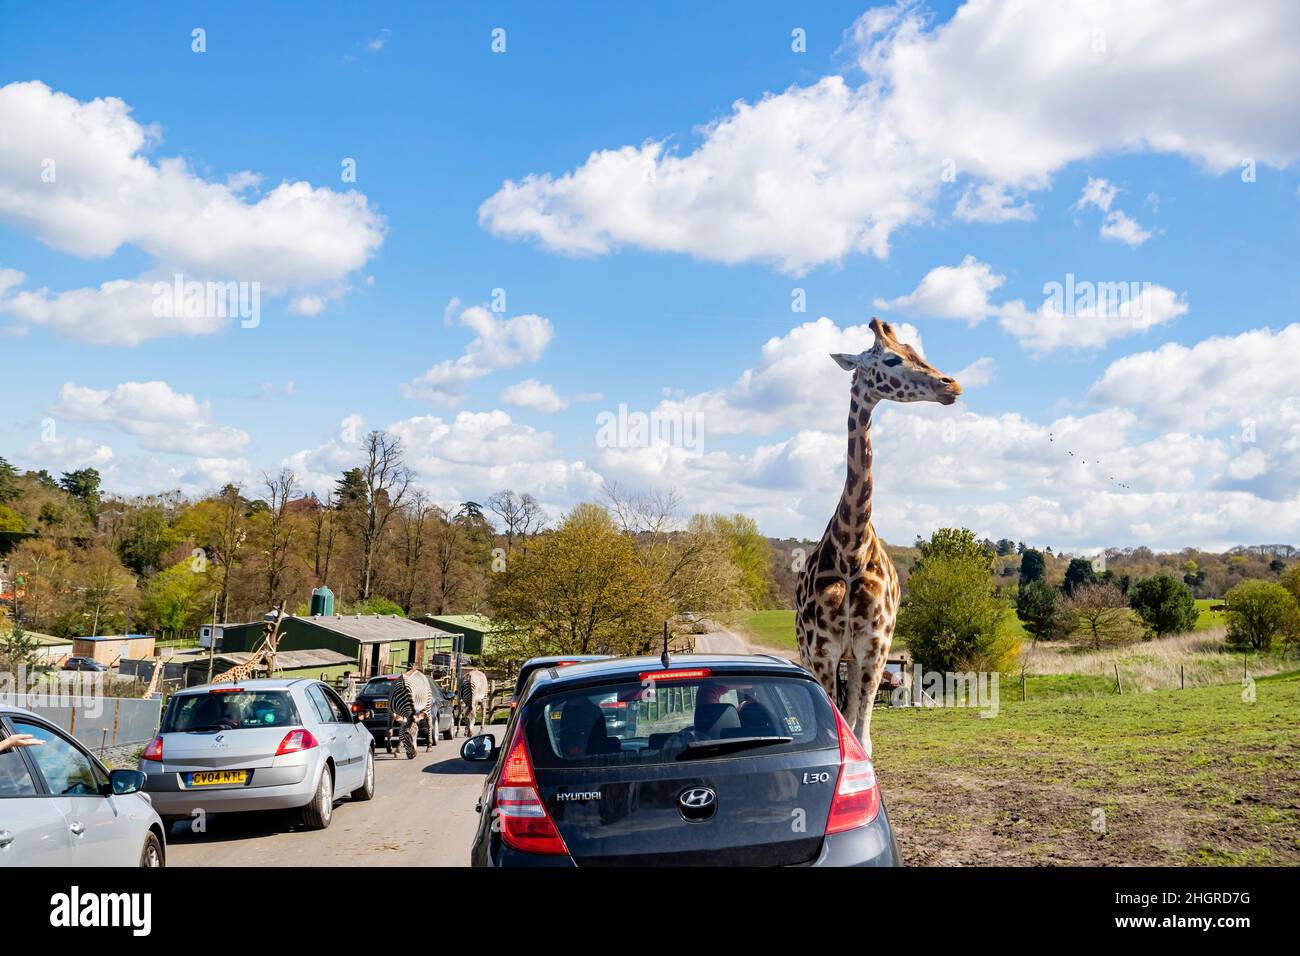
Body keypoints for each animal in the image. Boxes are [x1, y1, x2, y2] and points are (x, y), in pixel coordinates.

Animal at [790, 319, 967, 754]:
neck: (851, 548)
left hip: (857, 658)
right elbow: (842, 731)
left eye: (914, 350)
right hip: (815, 651)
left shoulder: (874, 647)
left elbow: (863, 739)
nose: (951, 385)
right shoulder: (823, 650)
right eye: (890, 359)